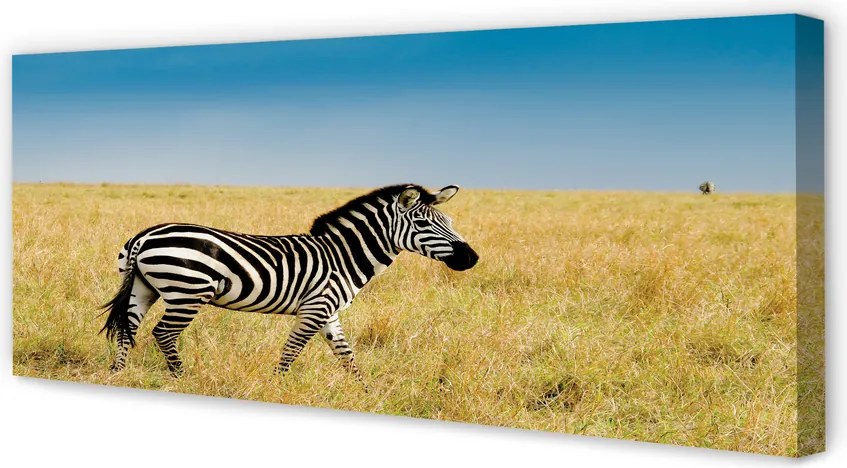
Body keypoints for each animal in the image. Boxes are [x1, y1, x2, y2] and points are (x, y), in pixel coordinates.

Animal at [100, 184, 479, 380]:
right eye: (424, 225)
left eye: (449, 221)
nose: (472, 258)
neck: (342, 256)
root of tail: (145, 236)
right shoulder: (315, 308)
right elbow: (292, 349)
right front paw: (277, 384)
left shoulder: (329, 311)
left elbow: (346, 354)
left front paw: (363, 390)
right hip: (187, 291)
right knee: (163, 333)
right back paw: (181, 376)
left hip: (144, 289)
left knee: (127, 328)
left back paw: (118, 373)